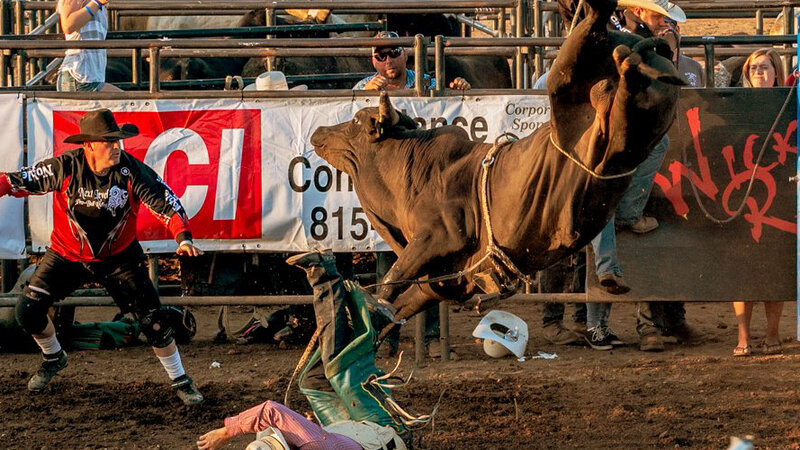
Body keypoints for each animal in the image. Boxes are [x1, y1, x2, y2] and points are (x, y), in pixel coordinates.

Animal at [309, 0, 683, 333]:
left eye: (356, 122)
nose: (319, 131)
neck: (413, 171)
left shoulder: (438, 235)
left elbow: (395, 276)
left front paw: (373, 303)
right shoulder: (432, 286)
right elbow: (397, 305)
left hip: (567, 88)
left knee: (593, 39)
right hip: (633, 121)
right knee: (630, 83)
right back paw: (631, 61)